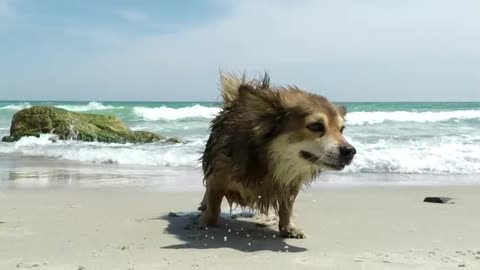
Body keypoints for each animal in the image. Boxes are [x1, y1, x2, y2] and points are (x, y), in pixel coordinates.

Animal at [197, 72, 354, 238]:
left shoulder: (290, 184)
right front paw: (206, 222)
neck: (267, 160)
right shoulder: (218, 174)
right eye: (315, 126)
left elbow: (287, 208)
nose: (350, 151)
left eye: (341, 129)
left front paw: (288, 227)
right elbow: (214, 203)